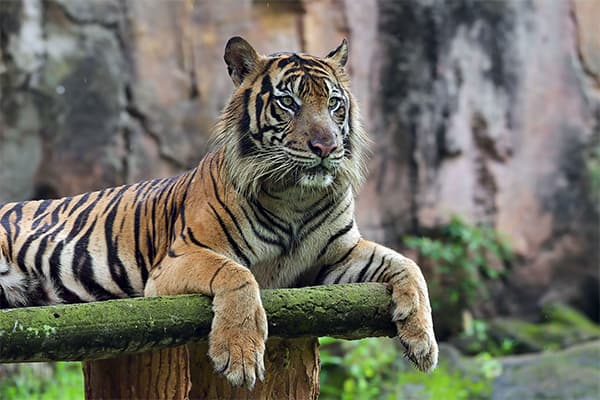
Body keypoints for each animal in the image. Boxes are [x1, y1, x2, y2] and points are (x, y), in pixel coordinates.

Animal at [2, 36, 438, 388]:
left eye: (334, 104)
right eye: (288, 102)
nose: (327, 147)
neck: (296, 195)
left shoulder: (336, 257)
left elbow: (408, 265)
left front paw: (423, 341)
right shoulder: (178, 260)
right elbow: (237, 274)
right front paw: (240, 357)